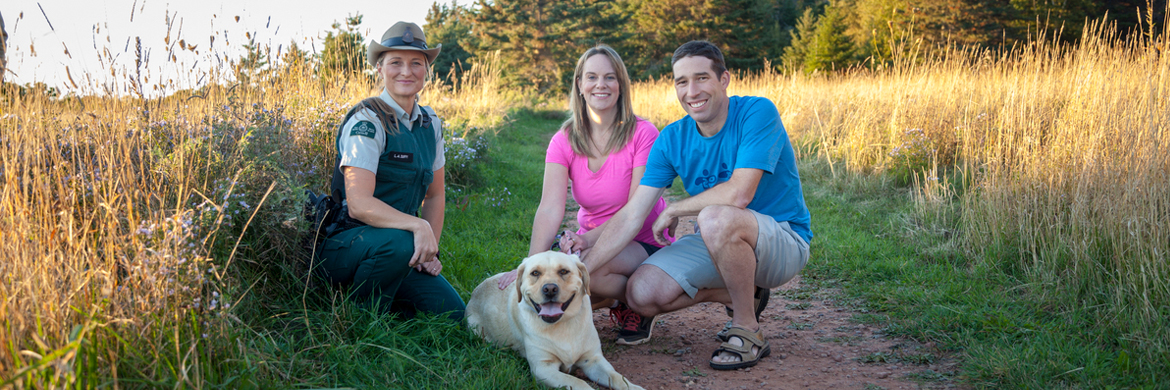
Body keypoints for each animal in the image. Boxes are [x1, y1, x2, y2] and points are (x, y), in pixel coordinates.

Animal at [465, 250, 645, 386]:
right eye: (535, 273)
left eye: (563, 271)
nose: (550, 289)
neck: (563, 325)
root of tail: (474, 293)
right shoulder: (543, 368)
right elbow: (578, 382)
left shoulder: (593, 360)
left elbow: (618, 378)